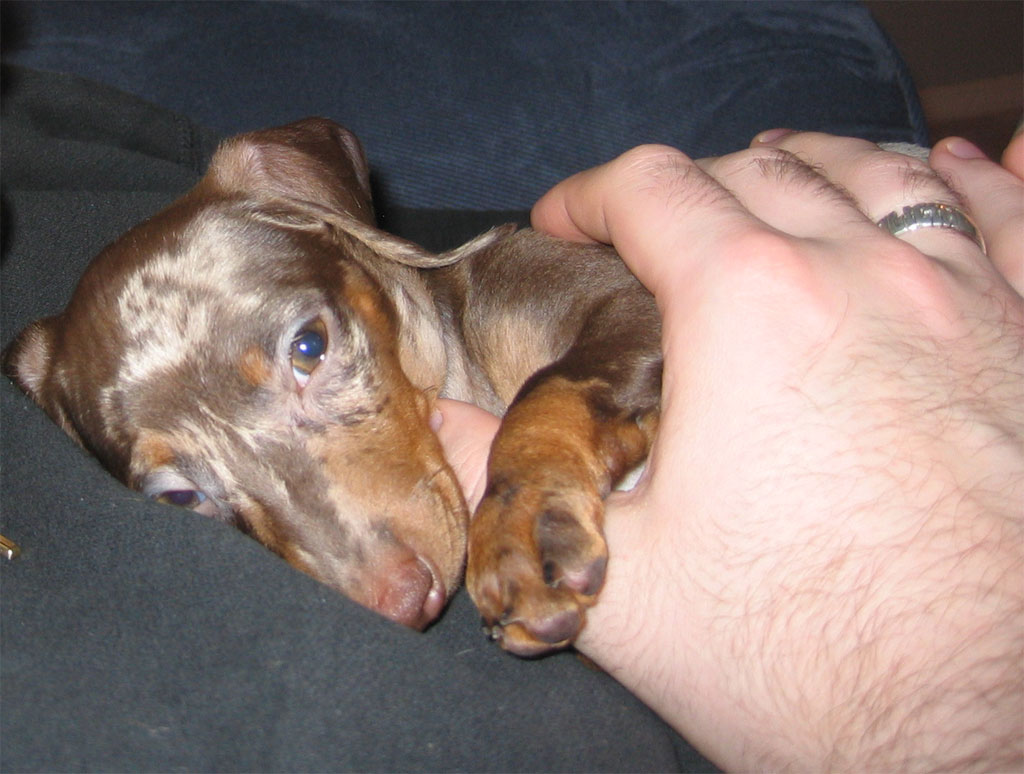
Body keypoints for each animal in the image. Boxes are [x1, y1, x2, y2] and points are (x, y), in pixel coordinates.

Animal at [4, 118, 661, 656]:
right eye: (181, 497)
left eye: (308, 347)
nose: (404, 605)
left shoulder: (622, 292)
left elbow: (552, 389)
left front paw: (519, 530)